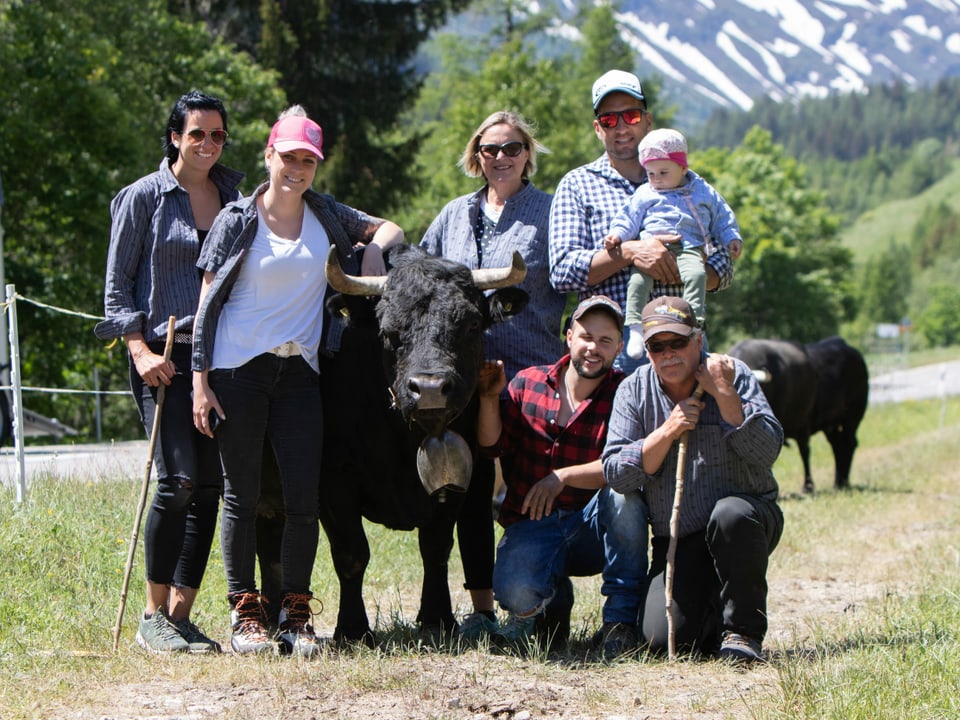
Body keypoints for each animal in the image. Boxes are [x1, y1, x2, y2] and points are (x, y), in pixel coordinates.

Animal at [314, 245, 524, 644]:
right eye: (388, 332)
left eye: (471, 326)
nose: (428, 388)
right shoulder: (332, 477)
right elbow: (351, 552)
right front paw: (352, 628)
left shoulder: (461, 472)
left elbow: (436, 545)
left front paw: (437, 618)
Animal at [728, 338, 872, 496]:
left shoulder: (803, 424)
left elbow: (804, 452)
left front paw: (808, 486)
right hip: (832, 426)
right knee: (837, 445)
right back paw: (838, 482)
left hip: (853, 416)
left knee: (848, 442)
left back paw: (843, 482)